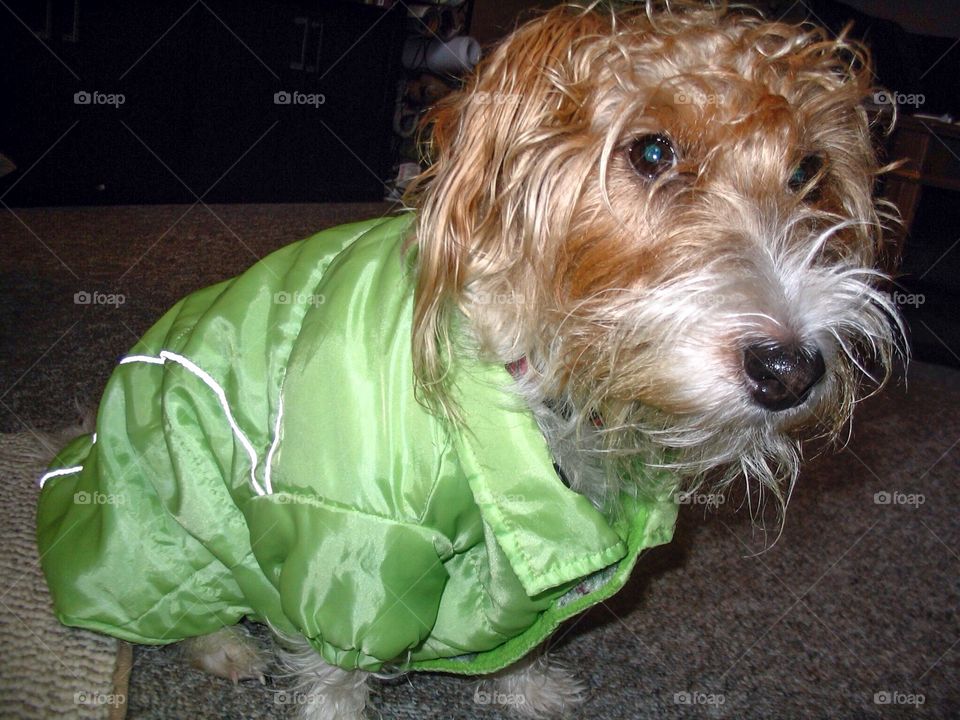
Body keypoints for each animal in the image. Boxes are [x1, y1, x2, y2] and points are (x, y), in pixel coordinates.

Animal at [37, 2, 904, 716]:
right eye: (652, 151)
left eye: (808, 173)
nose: (791, 371)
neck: (541, 382)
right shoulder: (352, 544)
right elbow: (337, 673)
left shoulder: (534, 551)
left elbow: (522, 627)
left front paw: (524, 687)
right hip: (173, 504)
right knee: (176, 594)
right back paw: (219, 643)